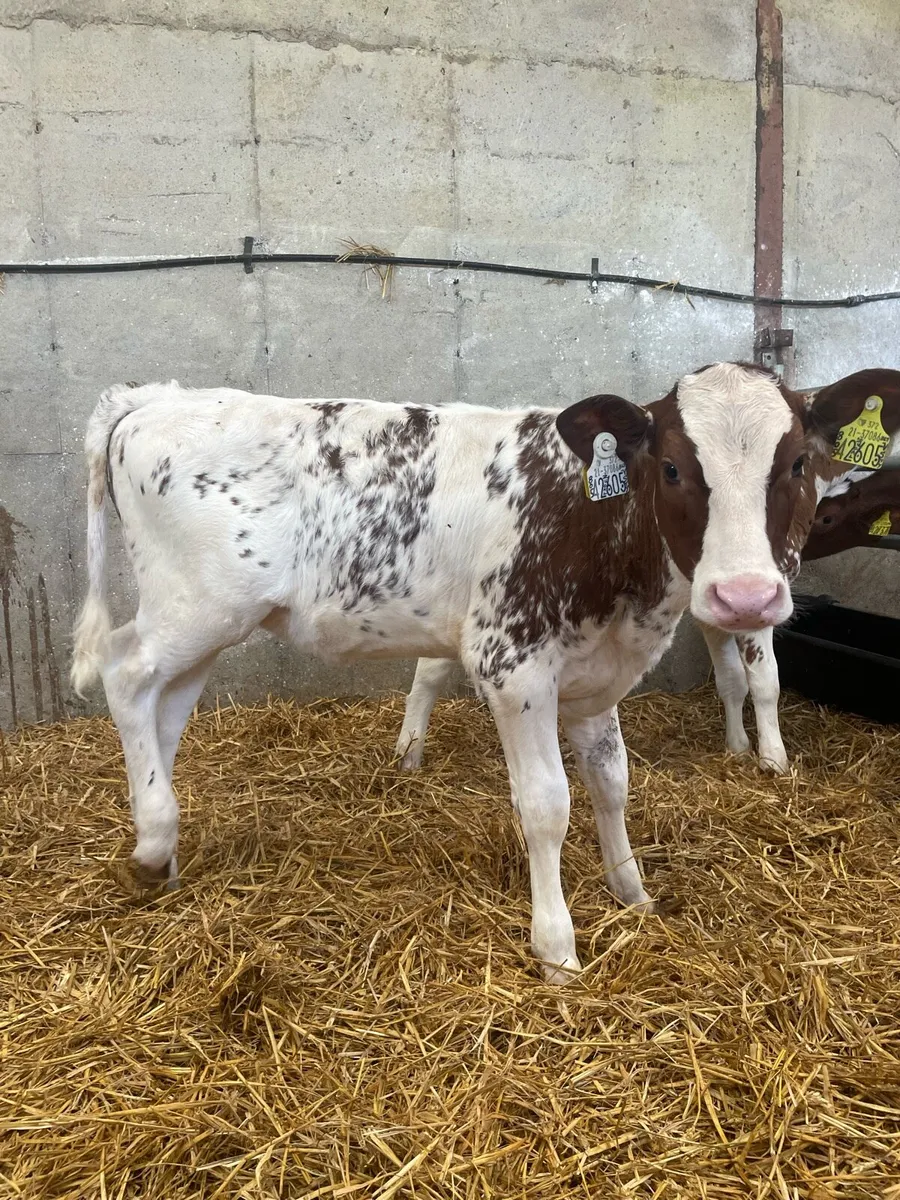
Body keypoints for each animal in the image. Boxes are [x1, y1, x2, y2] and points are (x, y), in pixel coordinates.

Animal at [71, 363, 886, 982]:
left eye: (798, 464)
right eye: (674, 467)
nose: (744, 597)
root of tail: (156, 397)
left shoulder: (595, 676)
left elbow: (613, 782)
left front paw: (632, 893)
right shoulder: (512, 665)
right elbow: (548, 805)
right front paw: (558, 949)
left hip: (203, 623)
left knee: (163, 705)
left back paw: (163, 850)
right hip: (196, 606)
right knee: (125, 675)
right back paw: (153, 840)